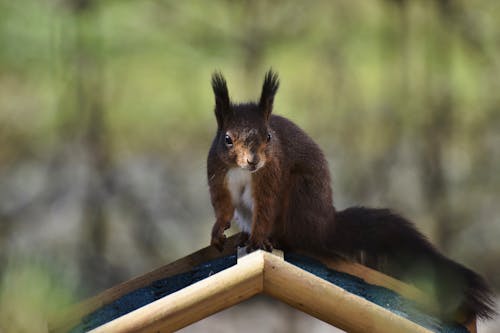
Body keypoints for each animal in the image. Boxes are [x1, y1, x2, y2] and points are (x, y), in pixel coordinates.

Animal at [205, 68, 494, 320]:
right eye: (227, 139)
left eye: (268, 137)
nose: (253, 161)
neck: (242, 171)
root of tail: (325, 225)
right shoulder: (219, 175)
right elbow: (223, 206)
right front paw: (219, 231)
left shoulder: (271, 176)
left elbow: (265, 207)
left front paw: (257, 239)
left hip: (300, 196)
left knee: (297, 237)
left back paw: (273, 238)